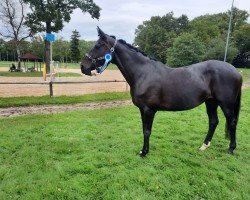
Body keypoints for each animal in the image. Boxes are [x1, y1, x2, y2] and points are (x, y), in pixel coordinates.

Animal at [80, 27, 242, 156]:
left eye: (97, 45)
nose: (83, 66)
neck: (143, 73)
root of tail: (236, 71)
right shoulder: (142, 110)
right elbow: (144, 129)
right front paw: (143, 150)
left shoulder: (149, 110)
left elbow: (147, 131)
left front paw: (144, 152)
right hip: (211, 102)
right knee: (213, 121)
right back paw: (204, 146)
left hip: (226, 104)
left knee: (232, 122)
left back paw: (231, 149)